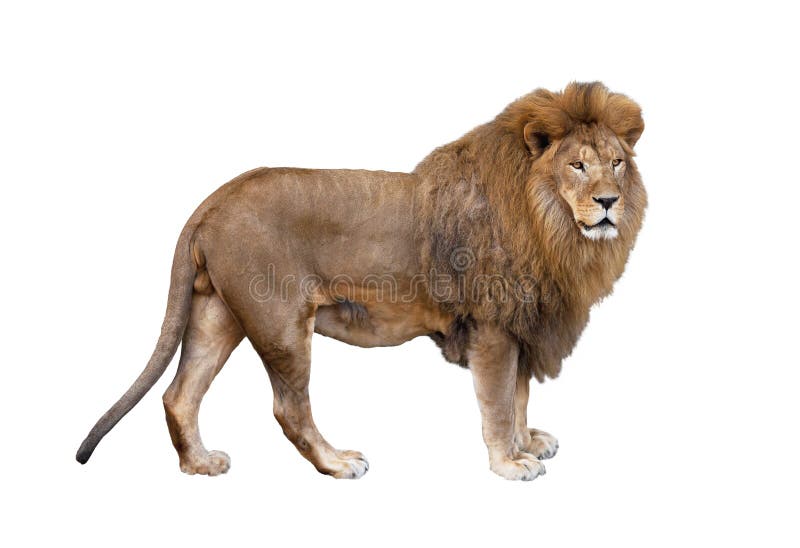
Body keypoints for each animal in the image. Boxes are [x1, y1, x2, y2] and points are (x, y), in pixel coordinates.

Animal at [76, 82, 646, 481]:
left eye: (617, 163)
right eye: (577, 166)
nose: (609, 201)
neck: (551, 227)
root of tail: (214, 199)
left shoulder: (525, 322)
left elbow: (519, 395)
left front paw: (527, 442)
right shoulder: (492, 327)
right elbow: (499, 403)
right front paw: (510, 463)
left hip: (218, 315)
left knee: (180, 394)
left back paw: (200, 465)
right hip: (281, 323)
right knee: (288, 407)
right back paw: (338, 463)